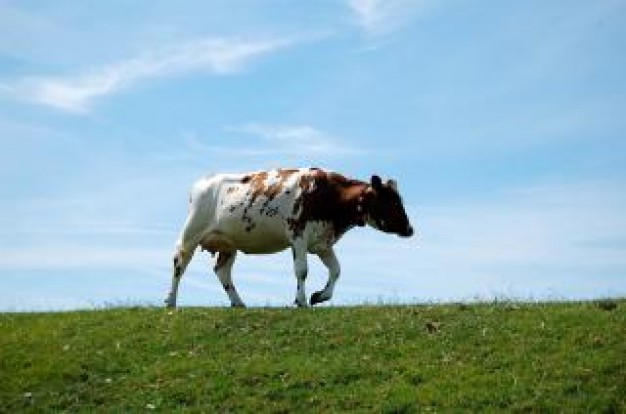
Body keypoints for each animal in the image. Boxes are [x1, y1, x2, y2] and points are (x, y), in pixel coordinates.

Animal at [163, 167, 412, 308]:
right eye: (391, 201)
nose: (410, 229)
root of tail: (203, 182)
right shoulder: (298, 234)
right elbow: (302, 270)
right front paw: (301, 301)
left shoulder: (322, 242)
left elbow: (336, 270)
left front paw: (319, 296)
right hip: (191, 232)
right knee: (179, 263)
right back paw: (170, 301)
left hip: (228, 243)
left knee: (222, 271)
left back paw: (238, 303)